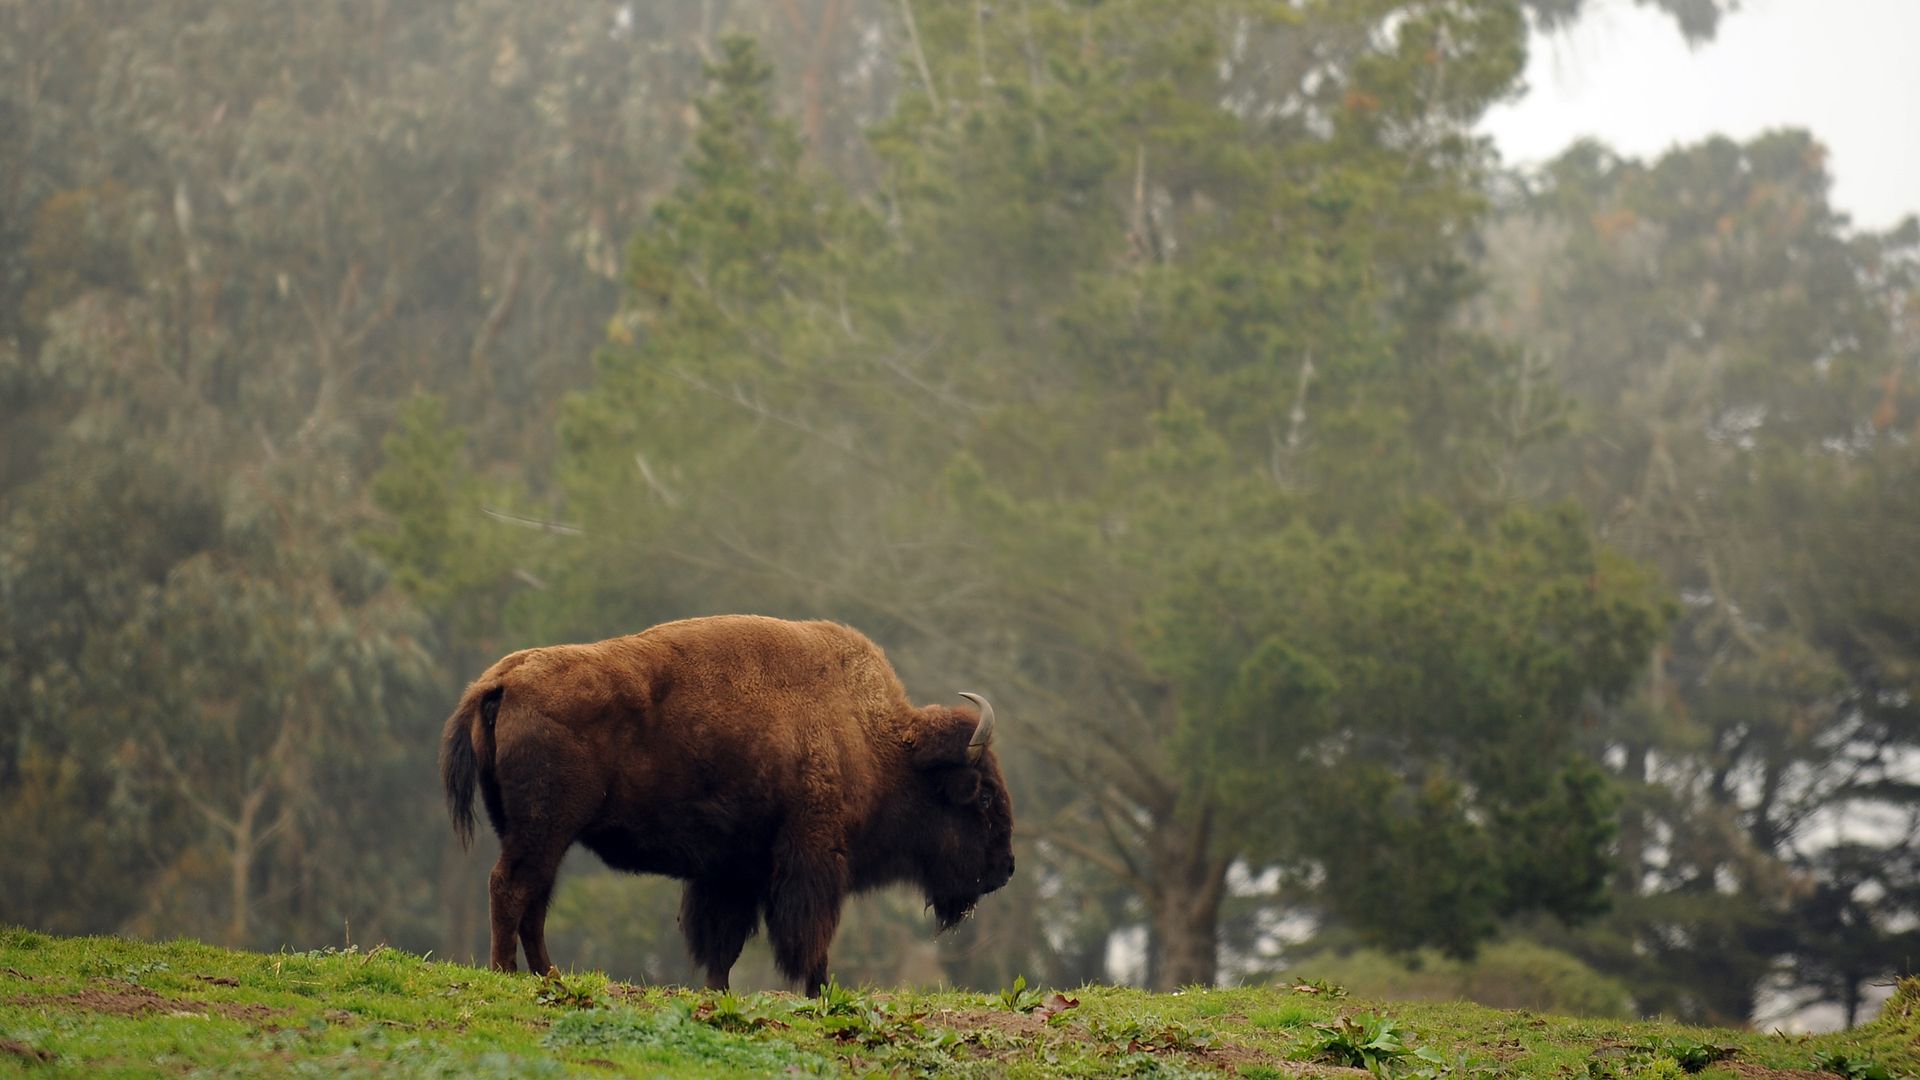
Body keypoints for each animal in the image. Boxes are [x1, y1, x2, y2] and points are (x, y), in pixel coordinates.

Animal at [440, 614, 1015, 994]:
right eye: (983, 794)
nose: (1005, 869)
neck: (874, 740)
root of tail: (503, 679)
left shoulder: (732, 871)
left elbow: (723, 942)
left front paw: (718, 993)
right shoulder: (812, 861)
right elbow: (809, 939)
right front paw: (818, 993)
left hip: (537, 832)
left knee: (533, 897)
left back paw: (549, 975)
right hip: (545, 827)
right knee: (510, 887)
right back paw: (505, 973)